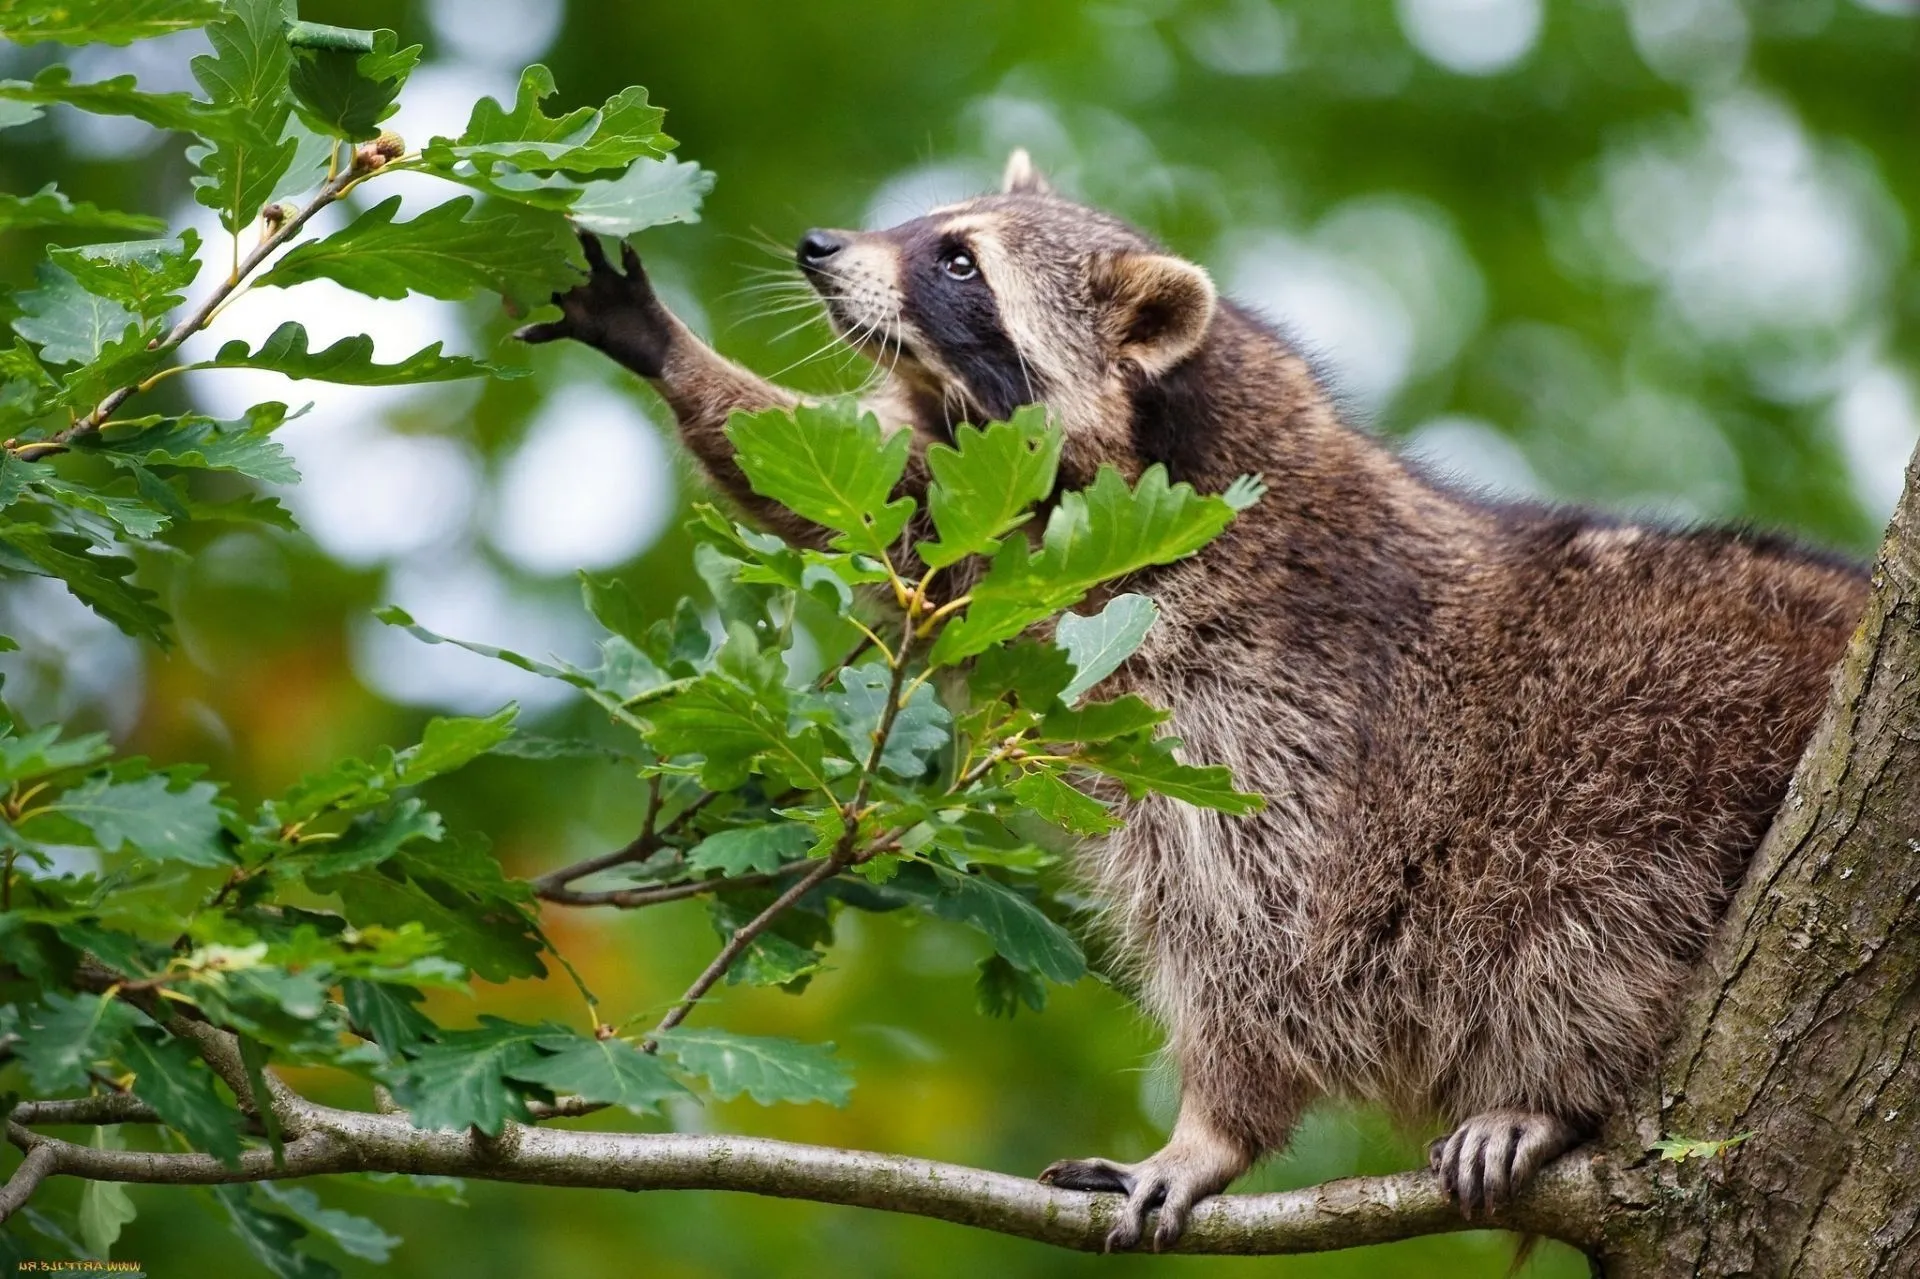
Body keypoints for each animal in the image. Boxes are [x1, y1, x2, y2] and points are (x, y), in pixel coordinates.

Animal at [517, 150, 1870, 1251]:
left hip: (1662, 745)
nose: (819, 247)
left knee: (1579, 910)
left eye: (958, 259)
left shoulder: (1266, 694)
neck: (1163, 439)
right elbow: (846, 488)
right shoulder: (990, 532)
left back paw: (1548, 1092)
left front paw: (1212, 1131)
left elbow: (1267, 935)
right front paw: (671, 347)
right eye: (925, 220)